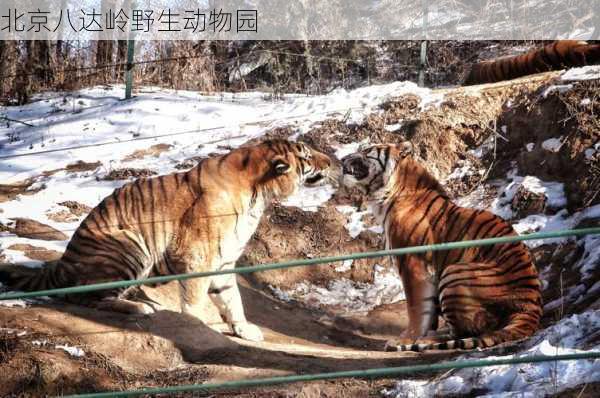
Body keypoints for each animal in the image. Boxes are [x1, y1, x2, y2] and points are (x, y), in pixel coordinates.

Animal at [0, 140, 332, 342]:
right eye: (306, 156)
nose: (330, 162)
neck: (258, 196)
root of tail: (61, 265)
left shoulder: (224, 261)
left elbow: (232, 299)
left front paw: (245, 330)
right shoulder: (199, 256)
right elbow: (196, 297)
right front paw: (198, 324)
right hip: (129, 246)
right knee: (83, 297)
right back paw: (139, 308)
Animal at [342, 143, 544, 352]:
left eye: (367, 151)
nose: (342, 159)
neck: (389, 193)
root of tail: (530, 307)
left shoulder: (413, 265)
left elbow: (416, 308)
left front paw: (405, 340)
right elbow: (428, 313)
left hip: (455, 272)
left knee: (466, 331)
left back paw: (426, 340)